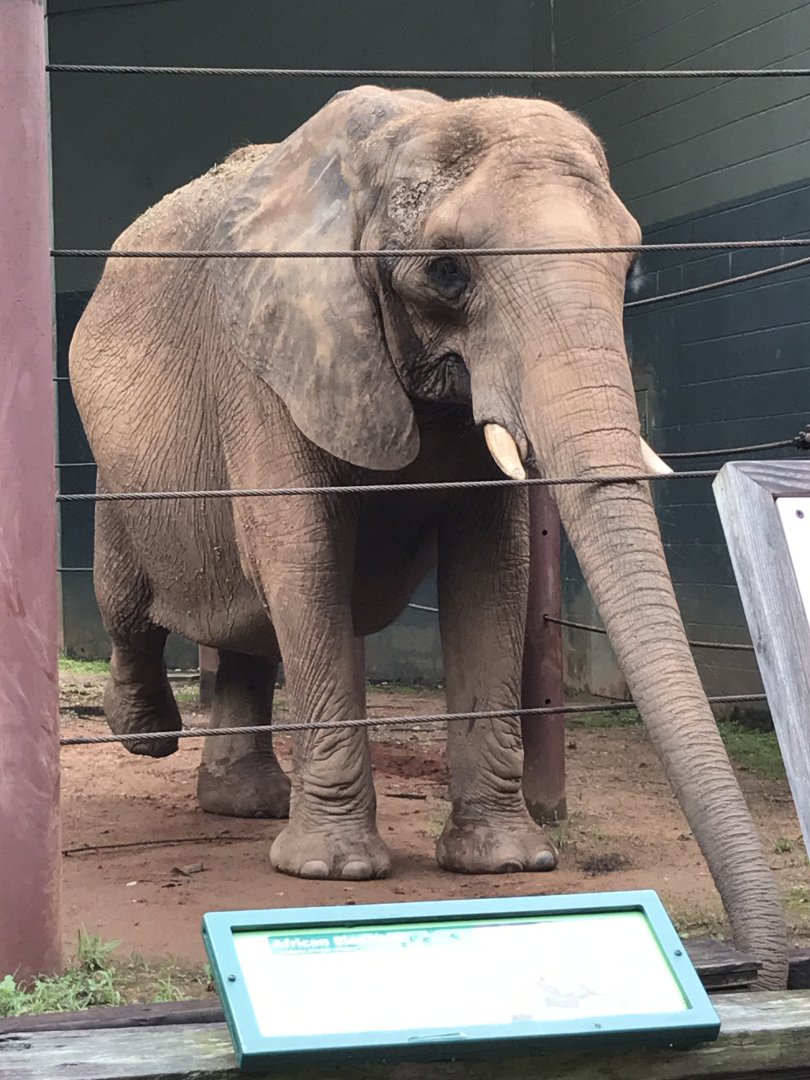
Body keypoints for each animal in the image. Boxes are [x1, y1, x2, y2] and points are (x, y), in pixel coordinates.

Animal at [69, 85, 788, 987]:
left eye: (628, 267)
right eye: (447, 272)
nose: (754, 966)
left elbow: (494, 574)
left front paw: (504, 862)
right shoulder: (269, 359)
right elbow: (302, 555)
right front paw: (335, 872)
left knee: (246, 625)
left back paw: (247, 805)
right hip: (120, 471)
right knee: (134, 601)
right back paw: (146, 735)